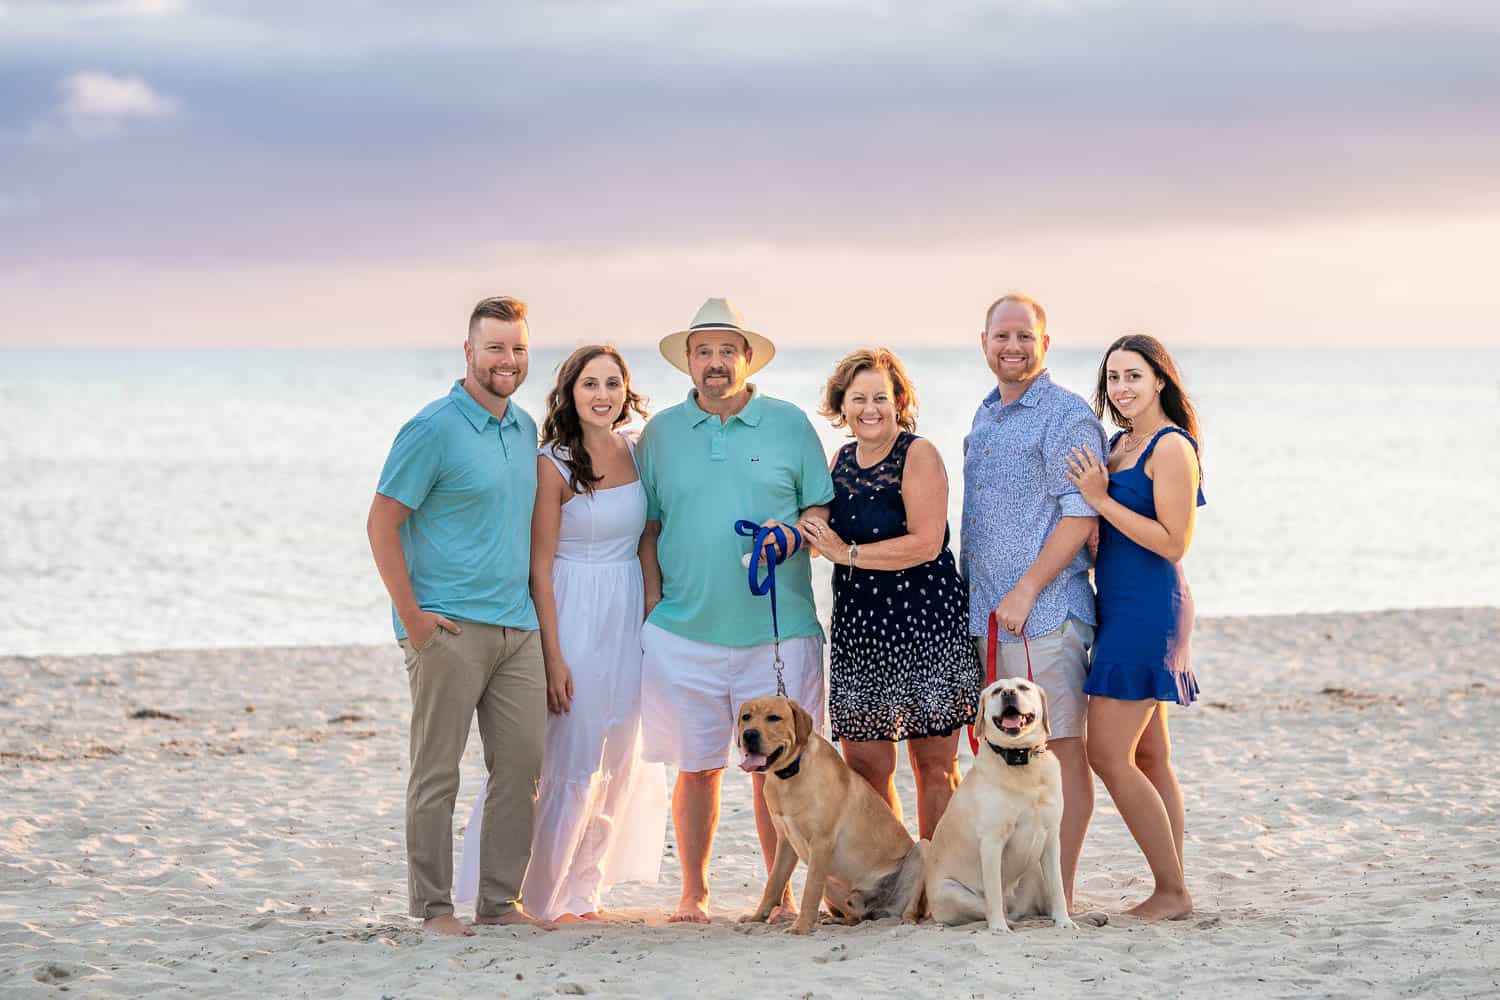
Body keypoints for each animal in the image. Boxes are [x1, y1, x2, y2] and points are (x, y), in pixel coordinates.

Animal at [735, 701, 924, 935]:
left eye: (774, 718)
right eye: (746, 717)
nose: (749, 735)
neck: (790, 774)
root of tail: (879, 909)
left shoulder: (820, 843)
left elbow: (810, 891)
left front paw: (801, 927)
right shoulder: (786, 842)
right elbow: (773, 884)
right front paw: (757, 917)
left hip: (922, 850)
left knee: (910, 908)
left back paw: (908, 921)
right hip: (832, 883)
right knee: (856, 917)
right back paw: (837, 920)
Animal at [924, 677, 1080, 935]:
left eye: (1024, 687)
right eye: (997, 691)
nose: (1008, 693)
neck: (1021, 762)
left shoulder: (1051, 839)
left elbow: (1057, 886)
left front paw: (1064, 921)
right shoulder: (991, 842)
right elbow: (994, 891)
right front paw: (998, 928)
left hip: (1034, 870)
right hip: (950, 891)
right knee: (993, 909)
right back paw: (1006, 923)